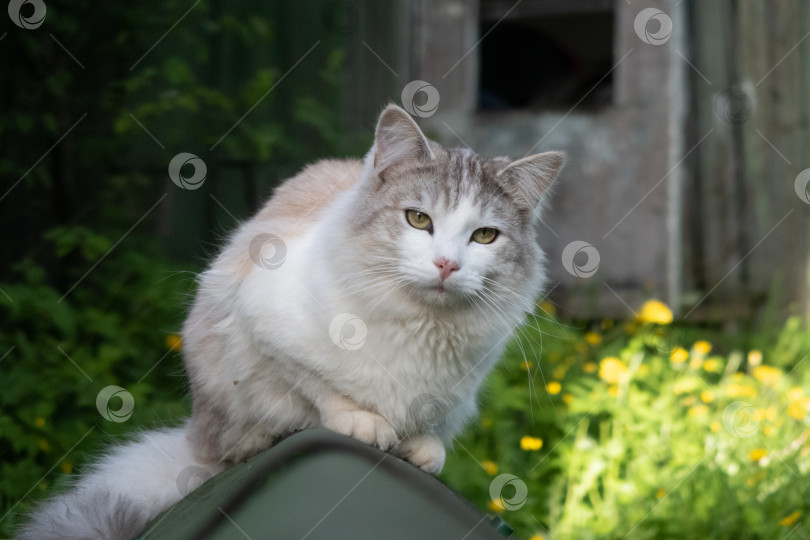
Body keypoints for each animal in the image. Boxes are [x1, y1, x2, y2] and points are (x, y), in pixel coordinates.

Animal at [19, 105, 560, 540]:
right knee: (228, 445)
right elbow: (317, 385)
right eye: (419, 220)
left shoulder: (458, 391)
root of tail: (193, 434)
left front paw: (420, 449)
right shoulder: (261, 322)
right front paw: (364, 423)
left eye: (485, 236)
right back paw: (257, 442)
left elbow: (432, 428)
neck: (420, 323)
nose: (447, 264)